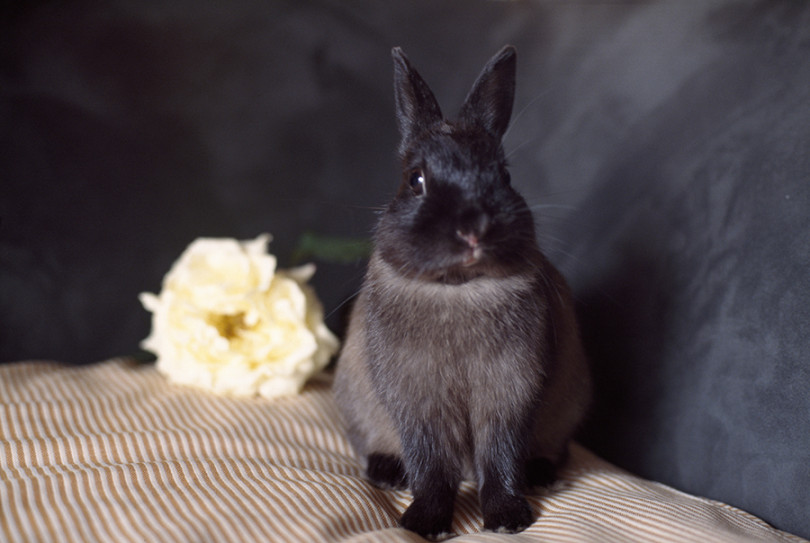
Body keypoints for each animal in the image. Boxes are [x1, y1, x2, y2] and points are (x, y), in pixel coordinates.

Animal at [332, 45, 592, 540]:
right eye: (415, 179)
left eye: (504, 176)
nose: (473, 228)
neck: (459, 289)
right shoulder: (418, 401)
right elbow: (431, 465)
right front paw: (426, 523)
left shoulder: (508, 395)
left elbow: (501, 456)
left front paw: (508, 518)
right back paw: (387, 473)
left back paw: (542, 475)